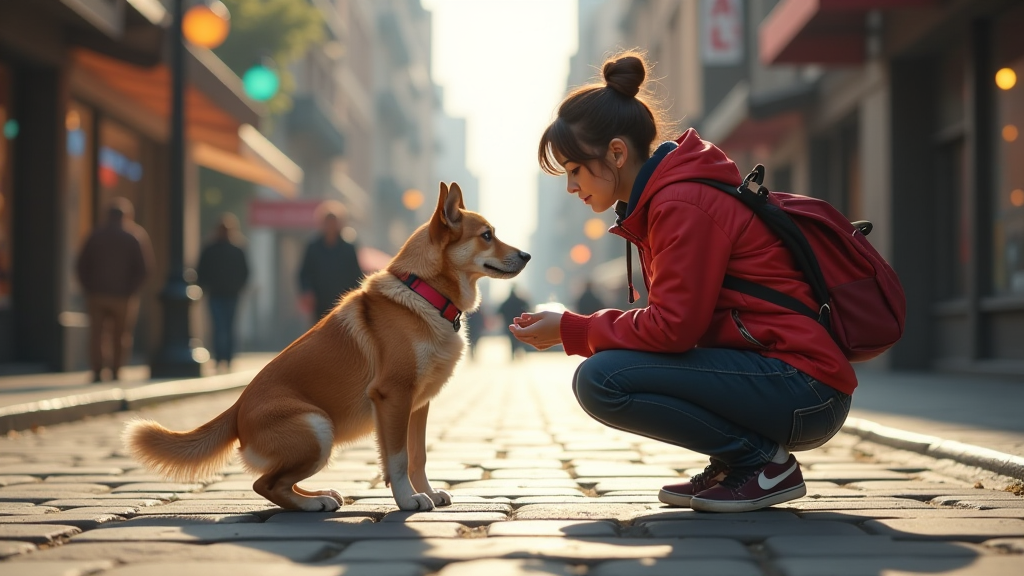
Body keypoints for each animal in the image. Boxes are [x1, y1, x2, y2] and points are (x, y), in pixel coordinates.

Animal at [123, 182, 532, 506]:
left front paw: (427, 492)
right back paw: (312, 503)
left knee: (274, 483)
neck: (426, 293)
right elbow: (398, 459)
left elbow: (418, 457)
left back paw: (320, 496)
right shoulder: (393, 396)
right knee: (265, 484)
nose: (526, 255)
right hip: (319, 428)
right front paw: (407, 501)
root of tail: (236, 409)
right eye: (487, 235)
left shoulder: (418, 405)